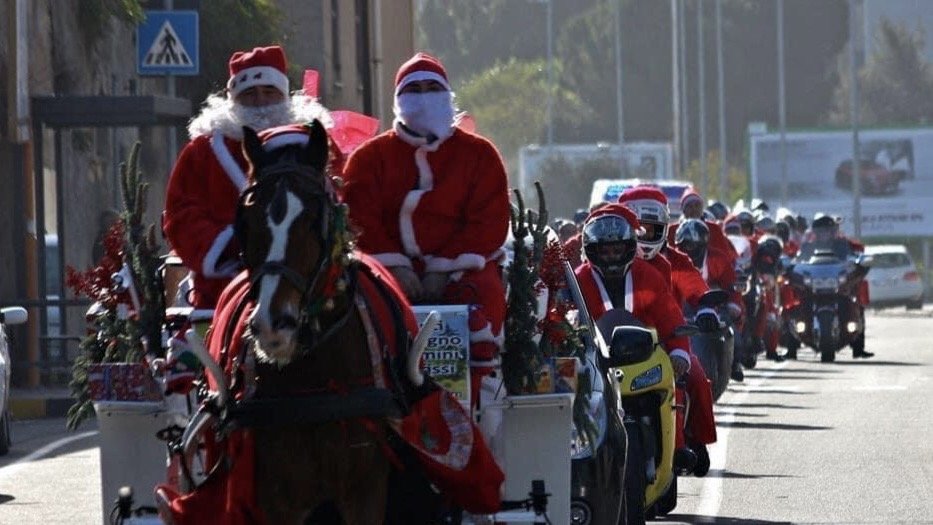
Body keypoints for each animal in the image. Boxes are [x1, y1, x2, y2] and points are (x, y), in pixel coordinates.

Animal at [233, 121, 396, 520]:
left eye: (311, 219)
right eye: (248, 221)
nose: (273, 324)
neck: (318, 384)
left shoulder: (366, 488)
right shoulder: (276, 498)